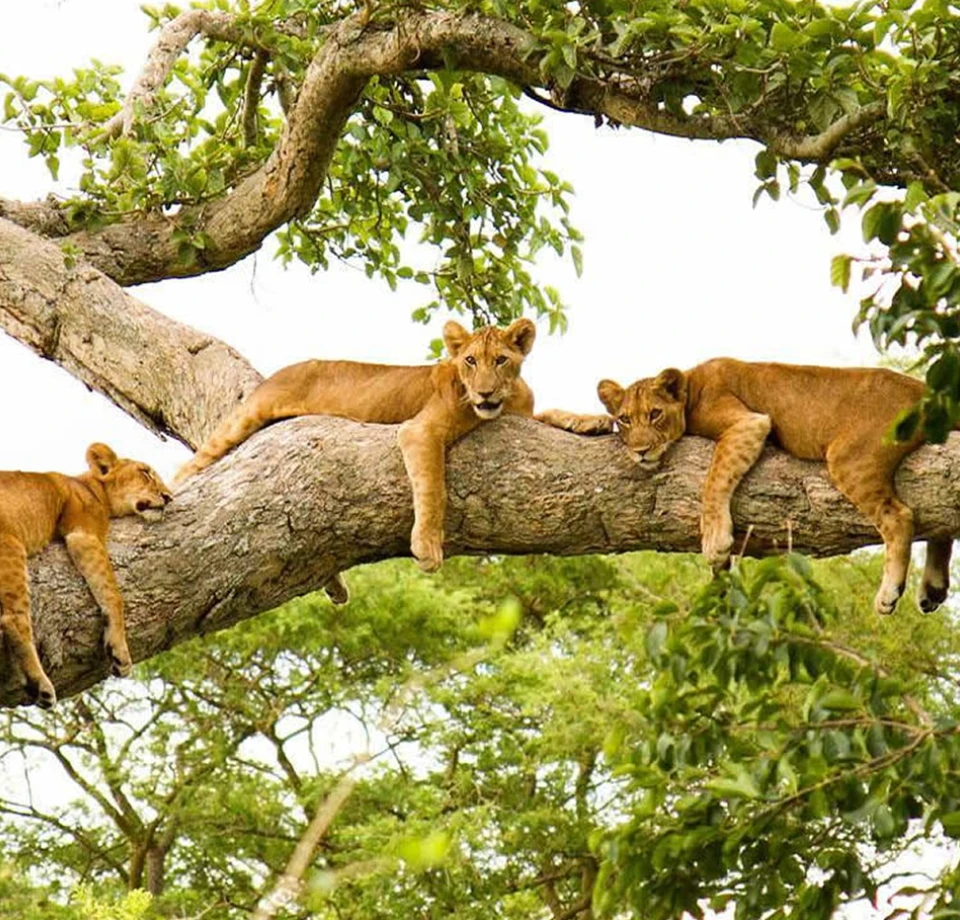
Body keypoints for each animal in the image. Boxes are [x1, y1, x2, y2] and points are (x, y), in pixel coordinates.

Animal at [0, 443, 172, 708]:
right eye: (145, 472)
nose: (169, 497)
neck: (91, 487)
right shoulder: (84, 534)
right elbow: (112, 594)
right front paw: (120, 651)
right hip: (10, 545)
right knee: (13, 619)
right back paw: (40, 684)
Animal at [173, 318, 537, 580]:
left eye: (501, 360)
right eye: (470, 361)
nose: (485, 393)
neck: (507, 400)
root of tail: (281, 371)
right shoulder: (419, 431)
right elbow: (434, 489)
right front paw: (427, 545)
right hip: (247, 417)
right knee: (188, 467)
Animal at [544, 358, 955, 616]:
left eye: (654, 414)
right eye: (625, 420)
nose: (641, 451)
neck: (691, 385)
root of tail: (924, 389)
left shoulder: (748, 422)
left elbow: (714, 479)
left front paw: (715, 540)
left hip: (850, 457)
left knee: (901, 516)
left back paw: (889, 594)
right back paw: (932, 588)